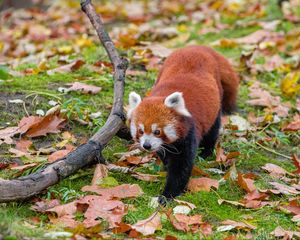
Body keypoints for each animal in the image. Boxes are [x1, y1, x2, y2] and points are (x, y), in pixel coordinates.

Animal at [126, 45, 239, 204]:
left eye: (157, 131)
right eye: (140, 131)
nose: (146, 145)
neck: (162, 95)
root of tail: (198, 47)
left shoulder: (189, 131)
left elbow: (181, 166)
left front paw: (168, 195)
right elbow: (164, 152)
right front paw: (165, 163)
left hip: (216, 101)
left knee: (212, 129)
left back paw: (206, 152)